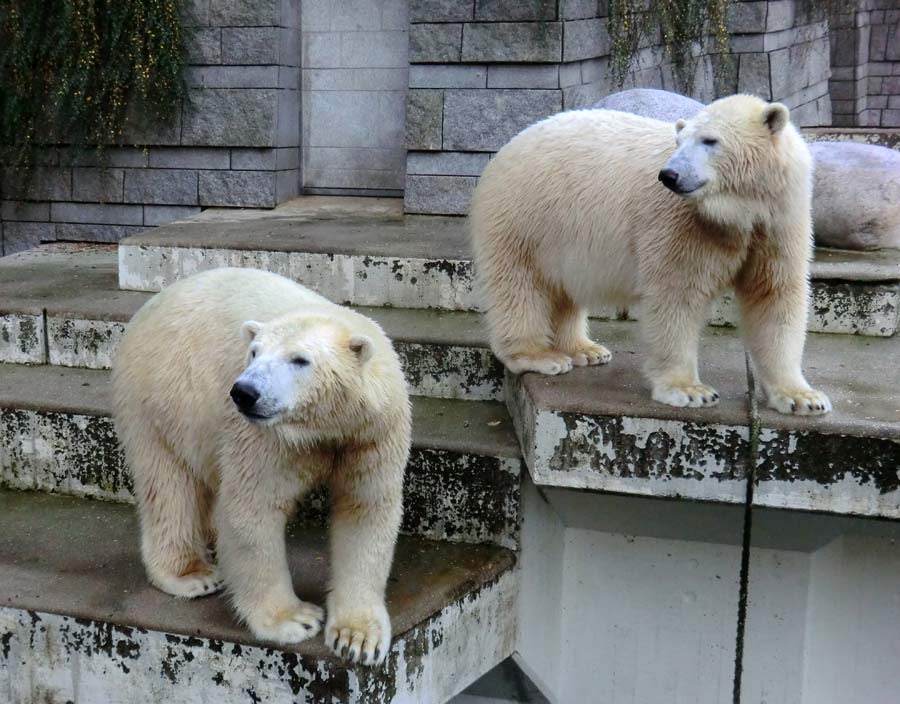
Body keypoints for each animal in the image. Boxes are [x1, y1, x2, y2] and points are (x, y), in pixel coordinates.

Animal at [110, 266, 414, 664]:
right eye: (253, 353)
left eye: (300, 360)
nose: (244, 392)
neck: (326, 428)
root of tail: (148, 307)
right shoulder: (267, 438)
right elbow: (252, 510)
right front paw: (295, 619)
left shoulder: (371, 434)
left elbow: (365, 510)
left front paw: (357, 639)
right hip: (161, 396)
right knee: (168, 484)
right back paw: (191, 574)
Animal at [474, 91, 832, 416]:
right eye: (679, 141)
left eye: (710, 140)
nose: (668, 175)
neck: (738, 213)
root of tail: (507, 146)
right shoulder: (683, 225)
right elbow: (677, 295)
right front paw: (690, 390)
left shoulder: (779, 224)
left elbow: (775, 296)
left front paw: (803, 398)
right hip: (524, 216)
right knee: (519, 285)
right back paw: (540, 356)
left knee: (564, 289)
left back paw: (585, 350)